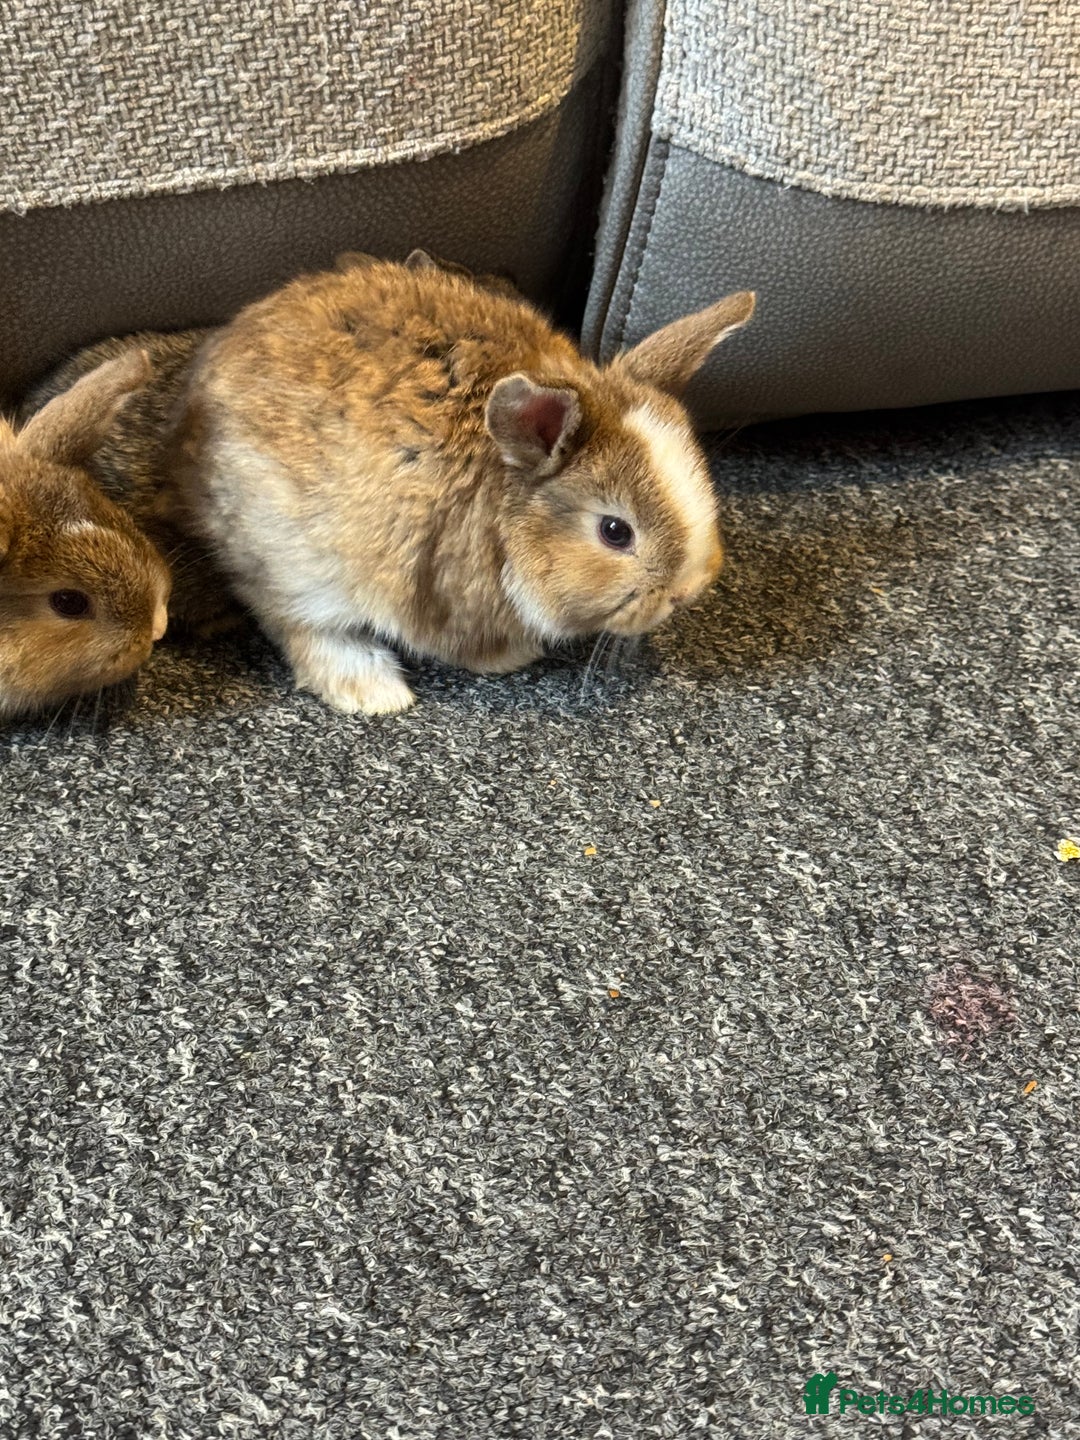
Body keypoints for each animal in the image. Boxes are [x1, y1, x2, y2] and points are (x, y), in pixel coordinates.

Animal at [167, 256, 756, 714]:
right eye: (615, 532)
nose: (686, 592)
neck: (504, 514)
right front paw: (519, 656)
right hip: (292, 557)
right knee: (291, 620)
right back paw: (373, 690)